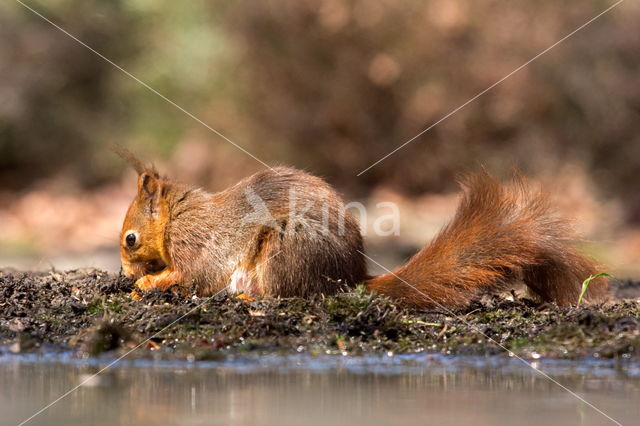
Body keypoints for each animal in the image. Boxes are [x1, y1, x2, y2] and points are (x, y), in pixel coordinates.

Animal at [116, 148, 608, 312]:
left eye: (130, 239)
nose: (122, 273)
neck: (178, 215)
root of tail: (349, 278)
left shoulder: (198, 243)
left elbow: (193, 274)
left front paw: (147, 284)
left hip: (283, 254)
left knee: (287, 294)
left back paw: (247, 298)